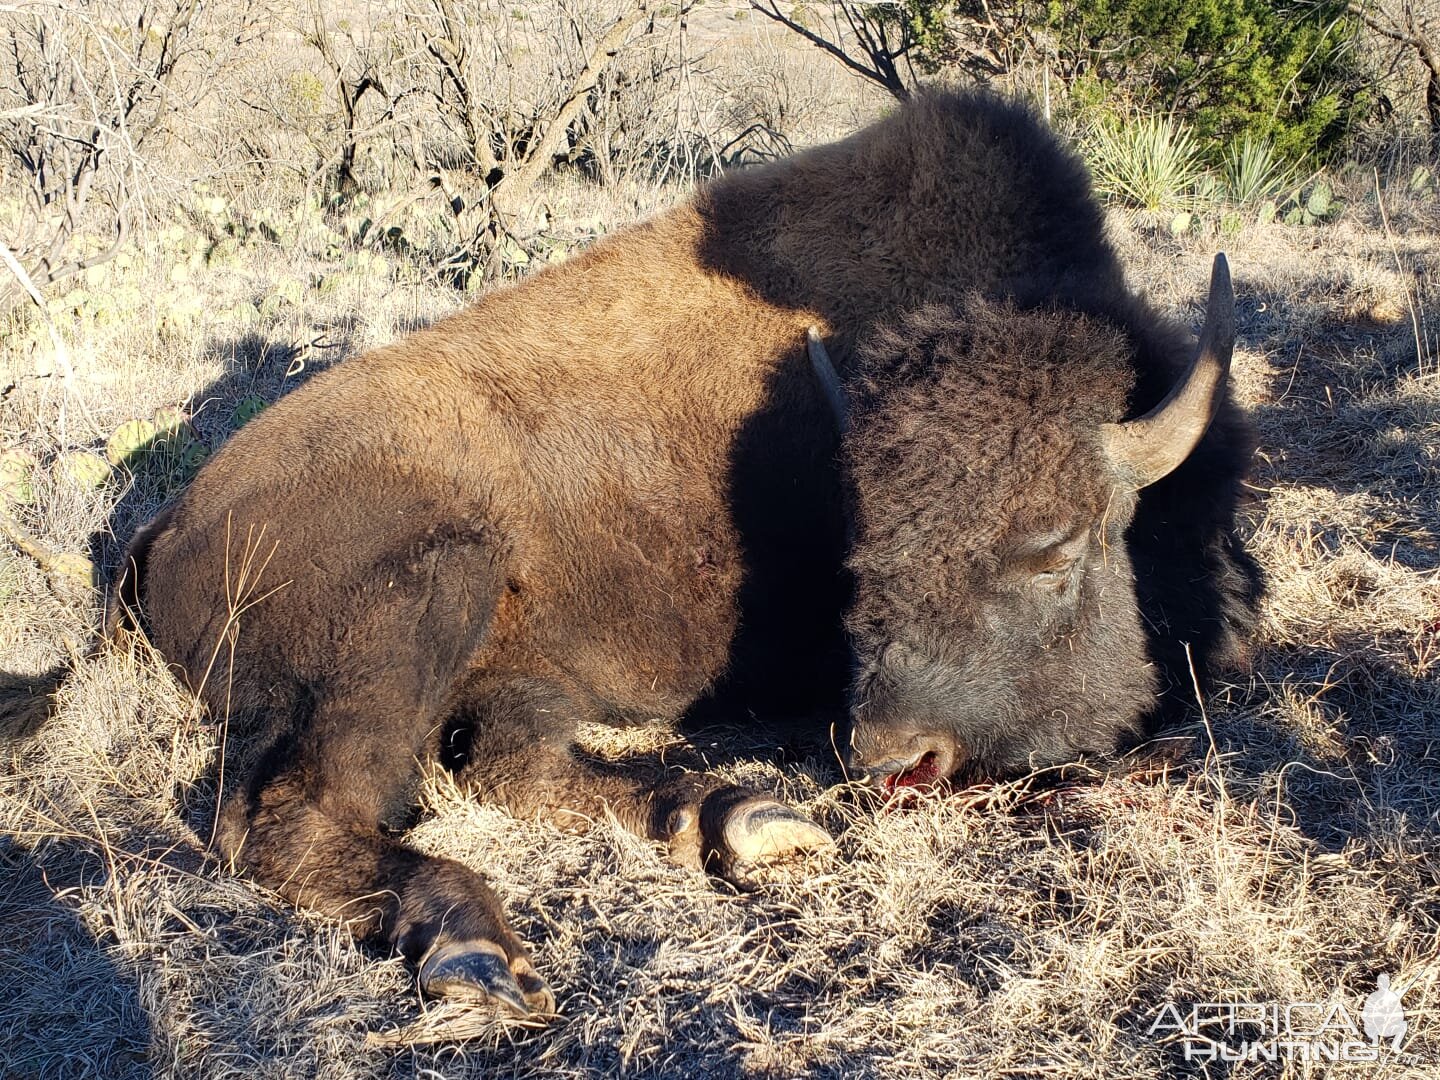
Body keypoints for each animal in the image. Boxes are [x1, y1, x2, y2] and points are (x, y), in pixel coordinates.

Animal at [106, 92, 1261, 1013]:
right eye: (856, 549)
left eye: (1054, 546)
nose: (891, 756)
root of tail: (169, 525)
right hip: (424, 595)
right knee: (290, 815)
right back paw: (479, 952)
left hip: (512, 667)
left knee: (506, 764)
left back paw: (737, 819)